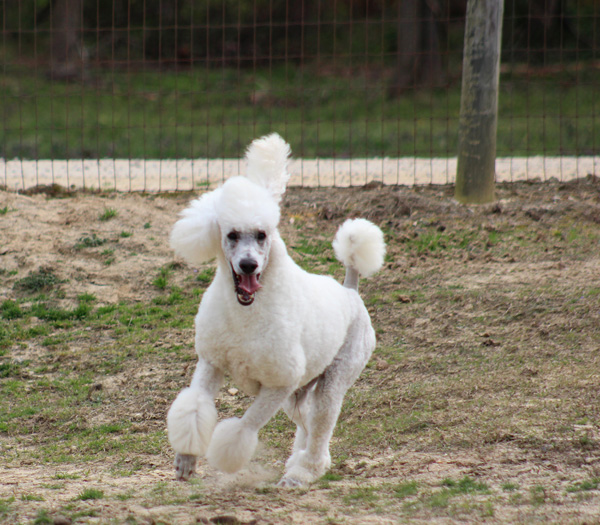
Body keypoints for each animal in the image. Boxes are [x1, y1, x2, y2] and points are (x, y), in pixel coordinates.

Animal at [166, 133, 385, 487]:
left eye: (262, 235)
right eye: (231, 234)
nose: (248, 265)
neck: (246, 314)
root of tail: (350, 289)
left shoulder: (279, 384)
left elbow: (246, 426)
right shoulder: (212, 363)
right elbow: (195, 406)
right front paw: (185, 460)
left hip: (334, 378)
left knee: (321, 422)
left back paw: (302, 472)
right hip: (298, 394)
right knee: (307, 422)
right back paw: (305, 461)